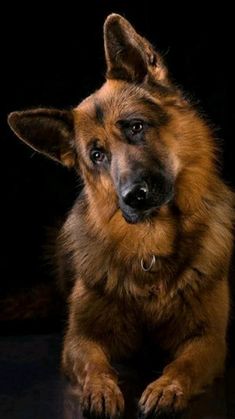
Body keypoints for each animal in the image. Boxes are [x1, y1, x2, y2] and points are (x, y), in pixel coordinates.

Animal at [7, 13, 233, 419]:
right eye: (97, 155)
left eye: (135, 126)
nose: (134, 197)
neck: (150, 250)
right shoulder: (79, 339)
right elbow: (95, 364)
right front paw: (102, 391)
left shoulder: (208, 341)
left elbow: (183, 365)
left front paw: (166, 387)